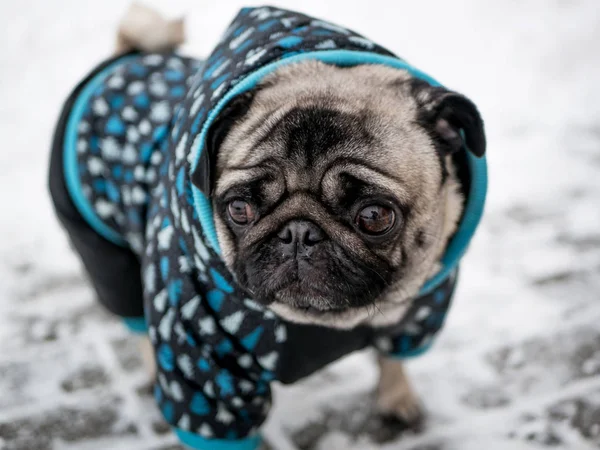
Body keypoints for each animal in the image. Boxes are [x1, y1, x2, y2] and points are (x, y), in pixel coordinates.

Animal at [49, 2, 486, 446]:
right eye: (239, 209)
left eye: (375, 216)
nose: (299, 233)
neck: (324, 321)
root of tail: (127, 54)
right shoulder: (204, 364)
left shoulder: (416, 314)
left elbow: (390, 357)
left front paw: (397, 398)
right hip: (105, 256)